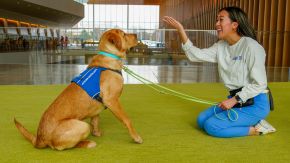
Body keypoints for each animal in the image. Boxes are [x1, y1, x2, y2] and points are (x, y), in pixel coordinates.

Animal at [14, 29, 143, 150]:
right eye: (124, 34)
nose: (136, 35)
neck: (108, 58)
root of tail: (40, 139)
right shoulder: (112, 101)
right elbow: (127, 119)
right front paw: (136, 137)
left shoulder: (98, 107)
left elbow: (95, 121)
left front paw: (97, 133)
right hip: (82, 126)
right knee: (60, 146)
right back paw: (87, 143)